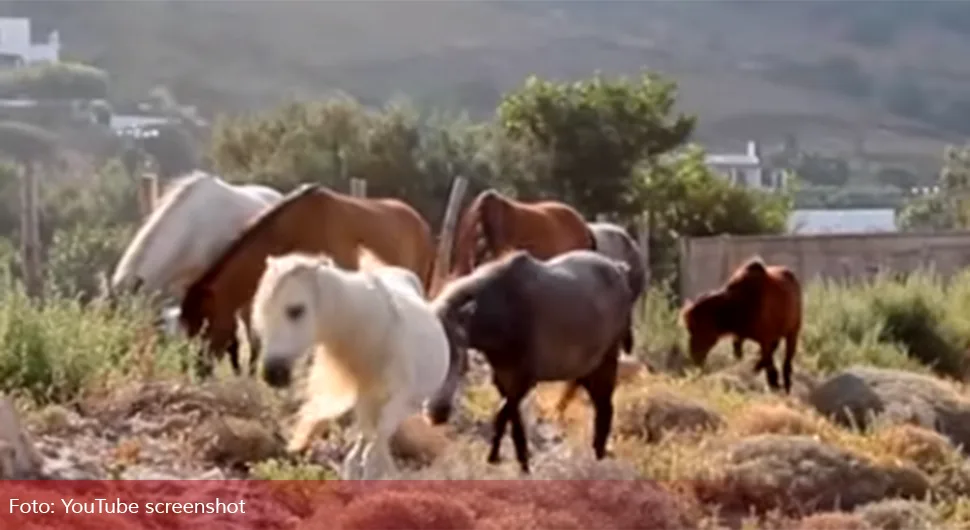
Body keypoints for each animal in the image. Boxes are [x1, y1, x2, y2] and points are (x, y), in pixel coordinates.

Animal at [426, 250, 636, 472]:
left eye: (461, 359)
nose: (436, 414)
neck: (501, 318)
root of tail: (621, 270)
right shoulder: (503, 377)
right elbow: (514, 421)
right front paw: (520, 463)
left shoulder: (525, 379)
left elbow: (502, 414)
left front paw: (496, 459)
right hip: (587, 368)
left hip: (607, 361)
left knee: (605, 408)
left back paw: (599, 458)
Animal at [676, 256, 796, 392]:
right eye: (689, 328)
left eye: (698, 328)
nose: (694, 355)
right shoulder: (739, 336)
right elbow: (741, 355)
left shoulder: (765, 339)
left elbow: (766, 359)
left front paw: (771, 380)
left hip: (793, 332)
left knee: (787, 360)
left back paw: (786, 384)